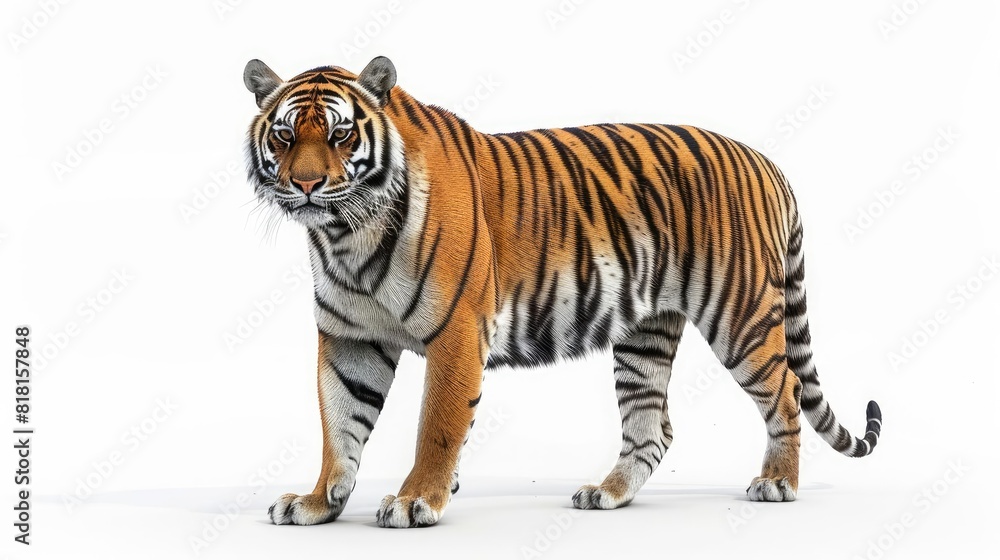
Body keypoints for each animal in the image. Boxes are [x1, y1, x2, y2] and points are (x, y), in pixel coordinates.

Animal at [242, 56, 882, 529]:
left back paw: (777, 483)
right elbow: (338, 424)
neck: (344, 235)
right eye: (284, 135)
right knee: (653, 426)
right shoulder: (348, 338)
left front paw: (414, 499)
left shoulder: (456, 332)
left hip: (740, 312)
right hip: (644, 337)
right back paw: (607, 493)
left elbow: (437, 425)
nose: (306, 183)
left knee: (787, 392)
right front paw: (318, 502)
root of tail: (767, 161)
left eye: (341, 134)